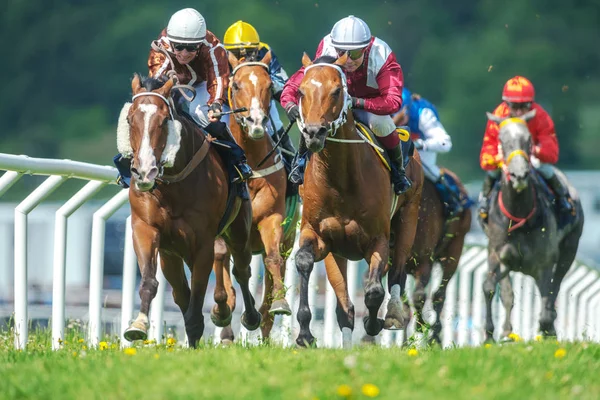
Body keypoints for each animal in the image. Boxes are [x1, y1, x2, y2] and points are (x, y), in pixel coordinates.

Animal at [120, 73, 262, 346]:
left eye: (164, 120)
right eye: (130, 119)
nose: (144, 172)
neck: (173, 187)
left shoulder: (203, 243)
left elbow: (197, 298)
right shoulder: (146, 229)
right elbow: (151, 282)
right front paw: (138, 324)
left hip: (239, 231)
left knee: (241, 270)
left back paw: (250, 316)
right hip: (173, 254)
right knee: (180, 292)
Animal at [213, 51, 302, 342]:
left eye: (268, 85)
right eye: (236, 85)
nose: (256, 122)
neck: (249, 166)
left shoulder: (272, 219)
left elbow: (272, 259)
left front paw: (279, 303)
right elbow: (220, 259)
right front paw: (223, 311)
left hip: (285, 241)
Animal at [292, 54, 424, 348]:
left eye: (336, 91)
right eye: (301, 91)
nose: (314, 133)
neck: (340, 180)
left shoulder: (378, 239)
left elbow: (374, 290)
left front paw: (373, 323)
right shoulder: (318, 234)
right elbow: (304, 261)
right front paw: (305, 332)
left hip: (409, 217)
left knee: (396, 274)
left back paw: (393, 314)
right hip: (338, 253)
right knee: (345, 307)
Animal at [410, 169, 472, 344]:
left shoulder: (424, 261)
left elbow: (419, 296)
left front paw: (422, 326)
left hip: (454, 251)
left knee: (439, 295)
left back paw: (435, 333)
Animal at [480, 111, 584, 342]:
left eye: (528, 140)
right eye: (501, 140)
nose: (519, 175)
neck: (518, 216)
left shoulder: (544, 263)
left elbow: (548, 297)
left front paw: (547, 328)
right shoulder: (497, 254)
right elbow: (490, 288)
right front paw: (489, 334)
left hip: (569, 249)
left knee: (555, 285)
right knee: (508, 294)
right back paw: (507, 332)